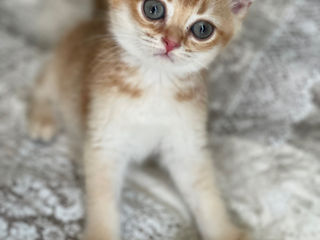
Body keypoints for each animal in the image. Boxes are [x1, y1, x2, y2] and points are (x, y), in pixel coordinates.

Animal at [26, 0, 252, 240]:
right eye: (153, 9)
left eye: (202, 29)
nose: (171, 43)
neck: (155, 83)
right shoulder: (106, 143)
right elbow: (103, 200)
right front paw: (101, 233)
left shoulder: (186, 147)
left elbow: (206, 195)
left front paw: (226, 232)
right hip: (60, 68)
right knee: (42, 84)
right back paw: (42, 118)